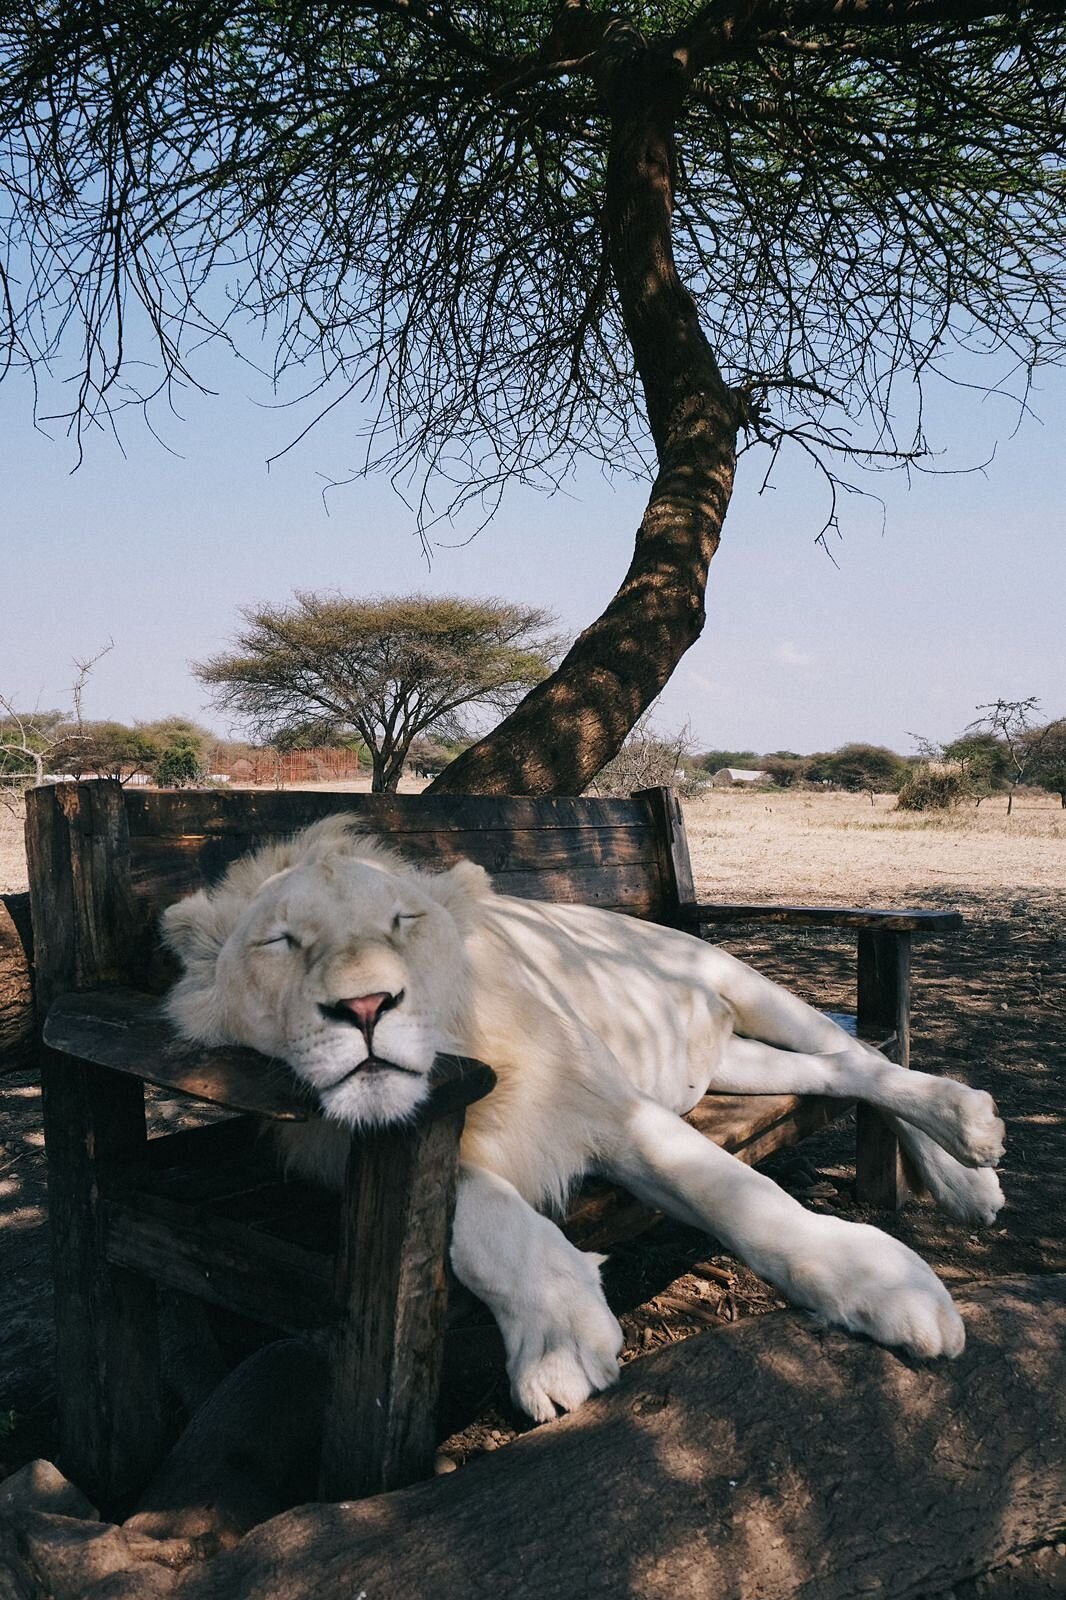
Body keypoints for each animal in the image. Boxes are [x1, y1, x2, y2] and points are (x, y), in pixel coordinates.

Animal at [161, 816, 1006, 1423]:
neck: (476, 1054)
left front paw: (881, 1283)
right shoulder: (337, 1141)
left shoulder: (613, 1105)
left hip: (746, 984)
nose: (367, 1006)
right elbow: (482, 1213)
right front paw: (562, 1336)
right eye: (280, 940)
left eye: (404, 921)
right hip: (730, 1064)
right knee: (840, 1072)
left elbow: (740, 1196)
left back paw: (967, 1148)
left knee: (863, 1056)